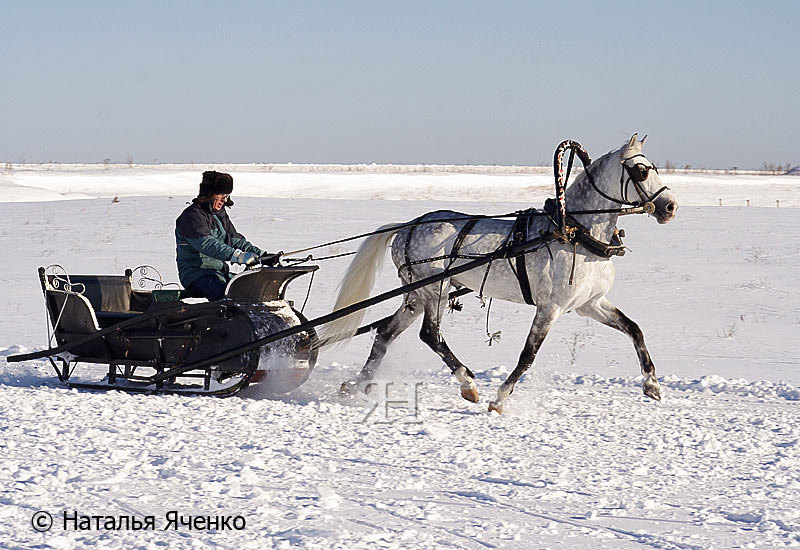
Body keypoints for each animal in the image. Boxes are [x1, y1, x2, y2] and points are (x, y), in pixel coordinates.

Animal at [318, 136, 676, 414]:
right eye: (641, 171)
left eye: (655, 167)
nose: (670, 207)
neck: (575, 233)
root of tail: (407, 226)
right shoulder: (550, 307)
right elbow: (528, 355)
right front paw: (500, 399)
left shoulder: (591, 304)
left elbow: (634, 329)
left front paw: (652, 385)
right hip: (434, 290)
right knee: (430, 335)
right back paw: (468, 384)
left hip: (415, 294)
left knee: (385, 333)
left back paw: (357, 385)